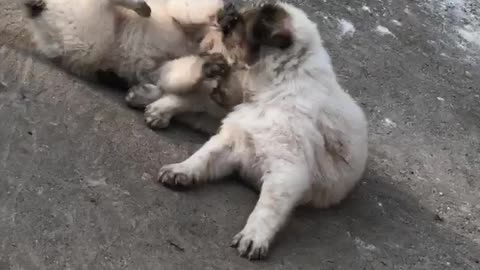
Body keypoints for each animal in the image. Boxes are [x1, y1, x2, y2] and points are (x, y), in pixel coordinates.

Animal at [154, 1, 368, 260]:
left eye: (240, 23)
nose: (227, 12)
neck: (274, 89)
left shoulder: (286, 170)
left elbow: (268, 207)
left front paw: (254, 237)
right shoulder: (232, 140)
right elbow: (202, 156)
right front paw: (181, 169)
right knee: (197, 100)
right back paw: (159, 107)